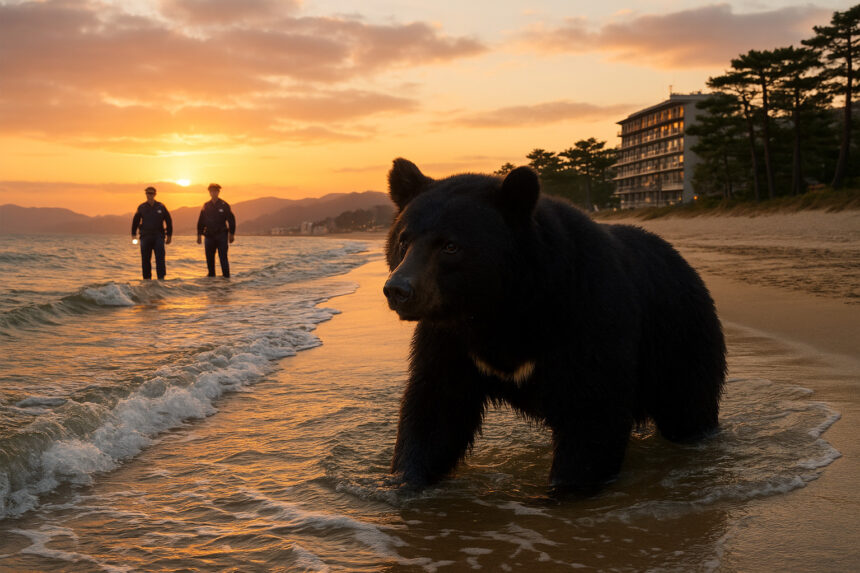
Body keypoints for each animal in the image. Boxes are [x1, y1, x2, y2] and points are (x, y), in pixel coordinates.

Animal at [382, 158, 726, 492]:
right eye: (403, 240)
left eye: (450, 246)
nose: (398, 289)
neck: (500, 308)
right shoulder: (449, 339)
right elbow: (435, 409)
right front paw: (404, 481)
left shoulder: (584, 313)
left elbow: (591, 408)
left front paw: (565, 488)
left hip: (680, 340)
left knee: (688, 406)